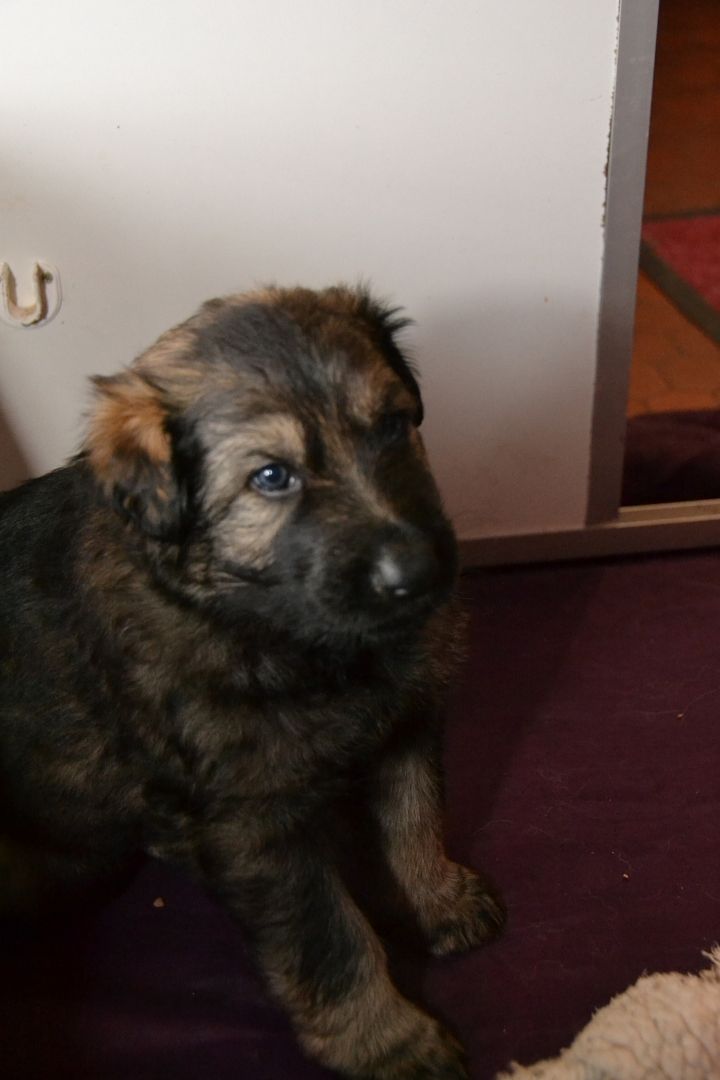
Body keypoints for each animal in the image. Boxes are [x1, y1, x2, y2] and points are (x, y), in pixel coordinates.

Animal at [0, 285, 505, 1078]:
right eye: (272, 477)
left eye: (393, 427)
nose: (417, 574)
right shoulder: (253, 822)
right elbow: (329, 940)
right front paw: (390, 1041)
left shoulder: (402, 722)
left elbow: (414, 821)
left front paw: (438, 899)